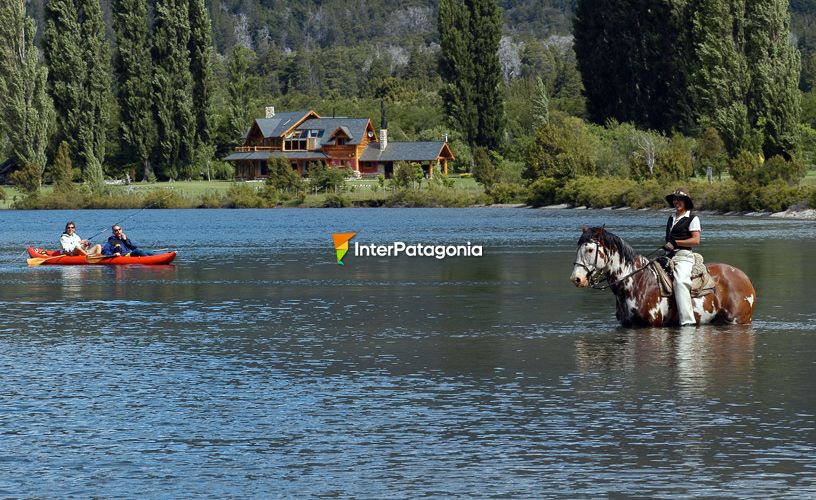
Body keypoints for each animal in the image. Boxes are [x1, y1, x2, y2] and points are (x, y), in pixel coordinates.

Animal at [572, 227, 756, 328]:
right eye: (578, 248)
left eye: (590, 250)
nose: (576, 279)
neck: (638, 282)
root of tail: (744, 277)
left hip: (738, 320)